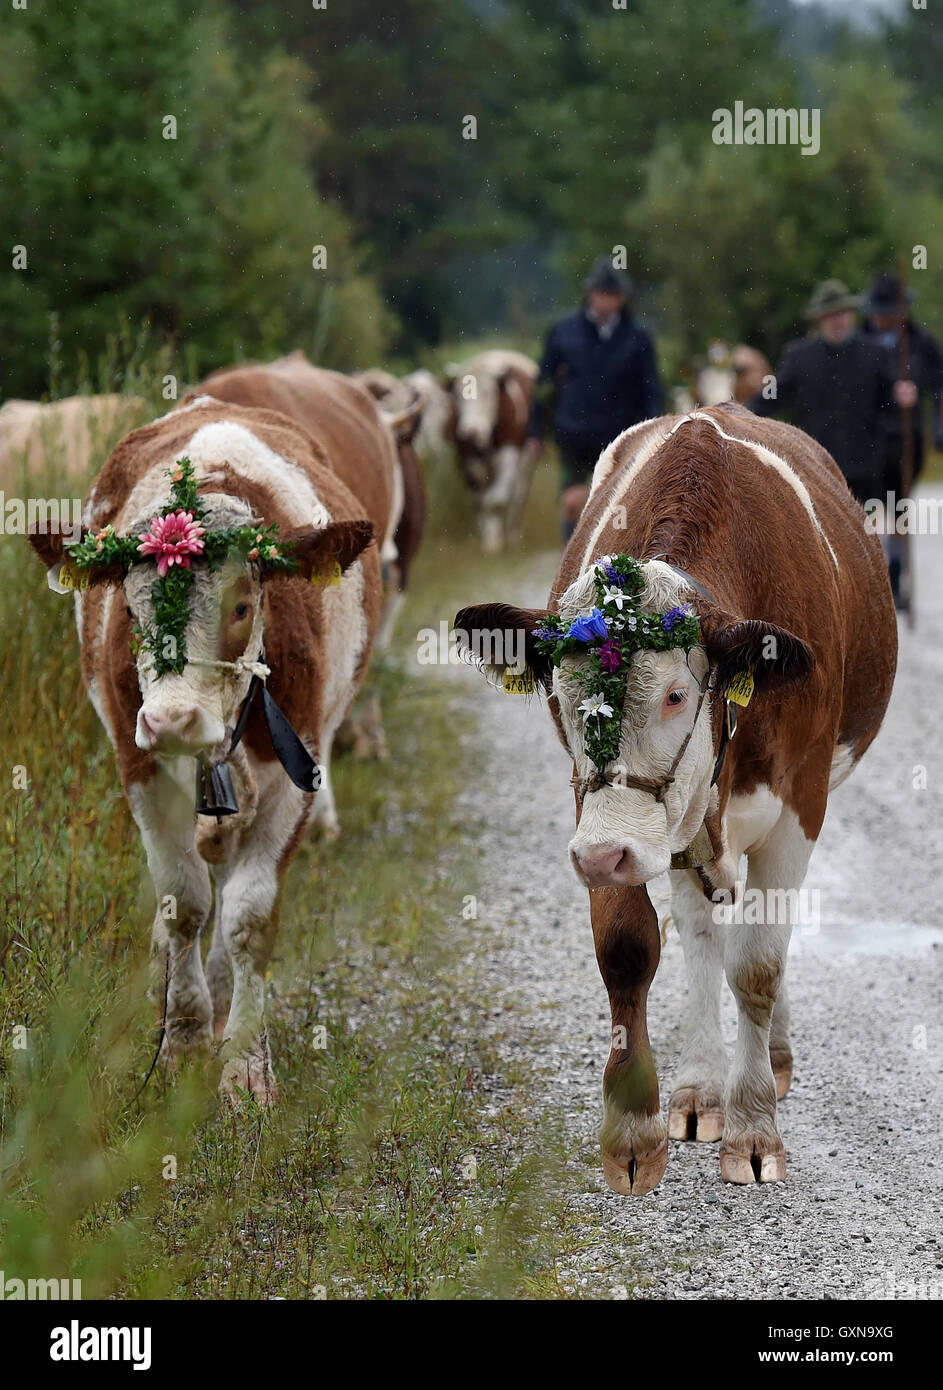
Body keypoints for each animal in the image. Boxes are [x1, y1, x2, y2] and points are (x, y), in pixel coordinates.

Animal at [25, 364, 395, 1100]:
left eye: (244, 605)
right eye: (129, 612)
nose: (171, 719)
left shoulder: (296, 771)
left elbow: (248, 918)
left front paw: (245, 1068)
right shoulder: (137, 766)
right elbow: (183, 902)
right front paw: (183, 1043)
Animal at [442, 347, 539, 553]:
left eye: (488, 393)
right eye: (458, 396)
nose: (471, 431)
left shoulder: (510, 452)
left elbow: (494, 499)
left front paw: (495, 539)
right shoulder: (466, 458)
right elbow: (478, 500)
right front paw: (488, 538)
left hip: (527, 459)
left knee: (519, 493)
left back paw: (513, 533)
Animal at [458, 403, 901, 1195]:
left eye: (673, 695)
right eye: (559, 694)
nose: (602, 856)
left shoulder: (799, 807)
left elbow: (758, 966)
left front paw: (754, 1130)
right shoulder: (604, 817)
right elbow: (630, 947)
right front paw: (635, 1131)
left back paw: (770, 1063)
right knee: (700, 934)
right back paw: (699, 1090)